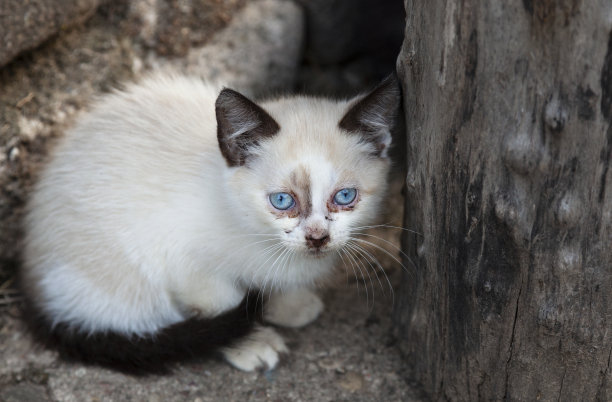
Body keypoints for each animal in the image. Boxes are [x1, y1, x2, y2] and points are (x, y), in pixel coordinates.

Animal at [19, 73, 400, 374]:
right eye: (282, 201)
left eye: (345, 196)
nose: (317, 237)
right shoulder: (183, 263)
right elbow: (223, 301)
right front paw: (252, 344)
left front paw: (287, 304)